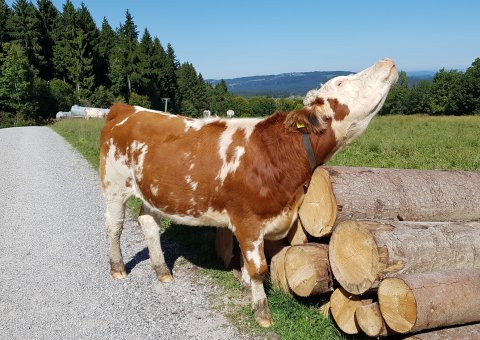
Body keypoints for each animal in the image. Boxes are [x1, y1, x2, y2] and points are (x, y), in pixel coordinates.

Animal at [98, 58, 398, 326]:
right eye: (341, 82)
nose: (388, 61)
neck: (280, 155)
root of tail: (126, 108)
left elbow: (245, 261)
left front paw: (245, 290)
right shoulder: (248, 220)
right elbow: (258, 268)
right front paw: (262, 312)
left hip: (154, 191)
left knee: (148, 223)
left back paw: (162, 271)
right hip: (115, 186)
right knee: (114, 226)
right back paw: (118, 268)